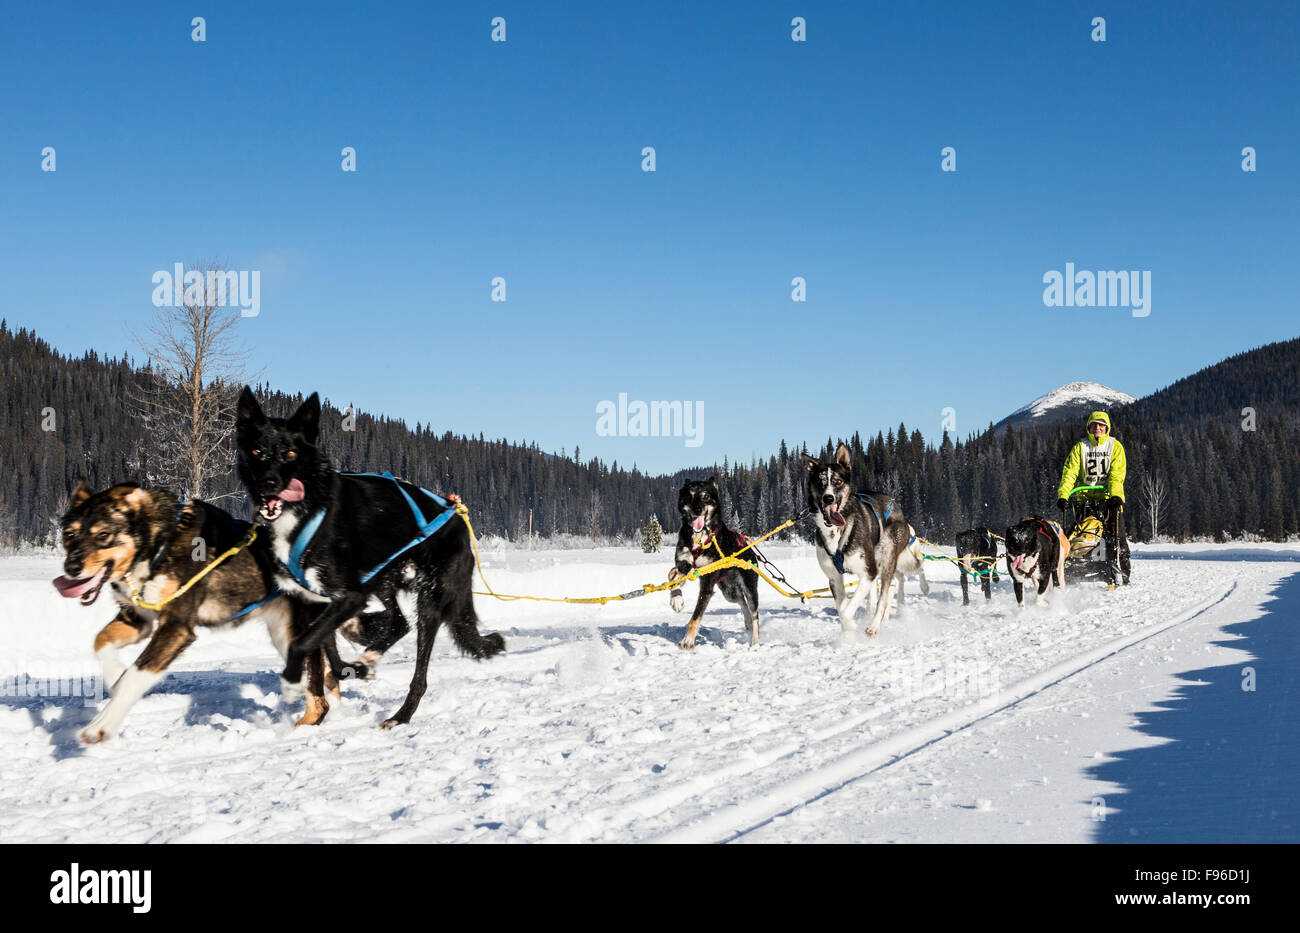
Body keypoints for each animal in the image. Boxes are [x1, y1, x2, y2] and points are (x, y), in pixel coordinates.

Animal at [55, 483, 340, 743]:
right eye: (69, 534)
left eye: (103, 534)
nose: (71, 567)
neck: (159, 544)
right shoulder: (138, 619)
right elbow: (101, 641)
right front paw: (114, 674)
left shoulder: (176, 628)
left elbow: (135, 677)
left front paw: (101, 725)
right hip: (284, 637)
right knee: (328, 679)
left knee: (320, 701)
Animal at [236, 387, 504, 732]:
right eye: (257, 451)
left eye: (290, 454)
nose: (268, 483)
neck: (310, 506)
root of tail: (456, 515)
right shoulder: (319, 600)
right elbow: (329, 654)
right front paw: (354, 668)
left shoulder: (351, 596)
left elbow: (304, 644)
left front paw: (293, 681)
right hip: (383, 579)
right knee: (399, 623)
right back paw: (368, 660)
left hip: (429, 599)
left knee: (419, 670)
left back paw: (400, 716)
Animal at [670, 483, 759, 649]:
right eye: (689, 495)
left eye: (706, 496)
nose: (697, 509)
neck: (699, 537)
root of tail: (750, 550)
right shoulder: (683, 564)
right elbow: (672, 575)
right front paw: (676, 599)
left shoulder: (707, 583)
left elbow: (696, 616)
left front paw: (687, 641)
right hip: (729, 592)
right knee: (742, 603)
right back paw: (748, 624)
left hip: (750, 589)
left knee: (755, 614)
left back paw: (754, 641)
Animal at [800, 444, 915, 636]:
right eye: (819, 482)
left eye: (838, 482)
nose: (828, 498)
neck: (837, 531)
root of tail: (896, 507)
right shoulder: (834, 578)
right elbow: (842, 610)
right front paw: (848, 633)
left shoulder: (868, 572)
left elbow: (847, 612)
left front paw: (853, 626)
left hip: (887, 556)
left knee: (884, 595)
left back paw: (874, 625)